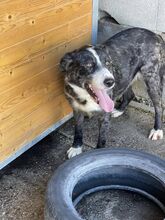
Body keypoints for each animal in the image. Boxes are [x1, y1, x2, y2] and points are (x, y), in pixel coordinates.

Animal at [60, 27, 164, 158]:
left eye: (108, 63)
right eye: (89, 65)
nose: (110, 81)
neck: (86, 96)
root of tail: (155, 34)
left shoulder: (104, 116)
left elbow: (102, 139)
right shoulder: (77, 109)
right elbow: (78, 130)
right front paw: (76, 147)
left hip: (152, 79)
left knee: (159, 106)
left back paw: (157, 129)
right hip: (126, 77)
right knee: (130, 94)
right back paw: (119, 110)